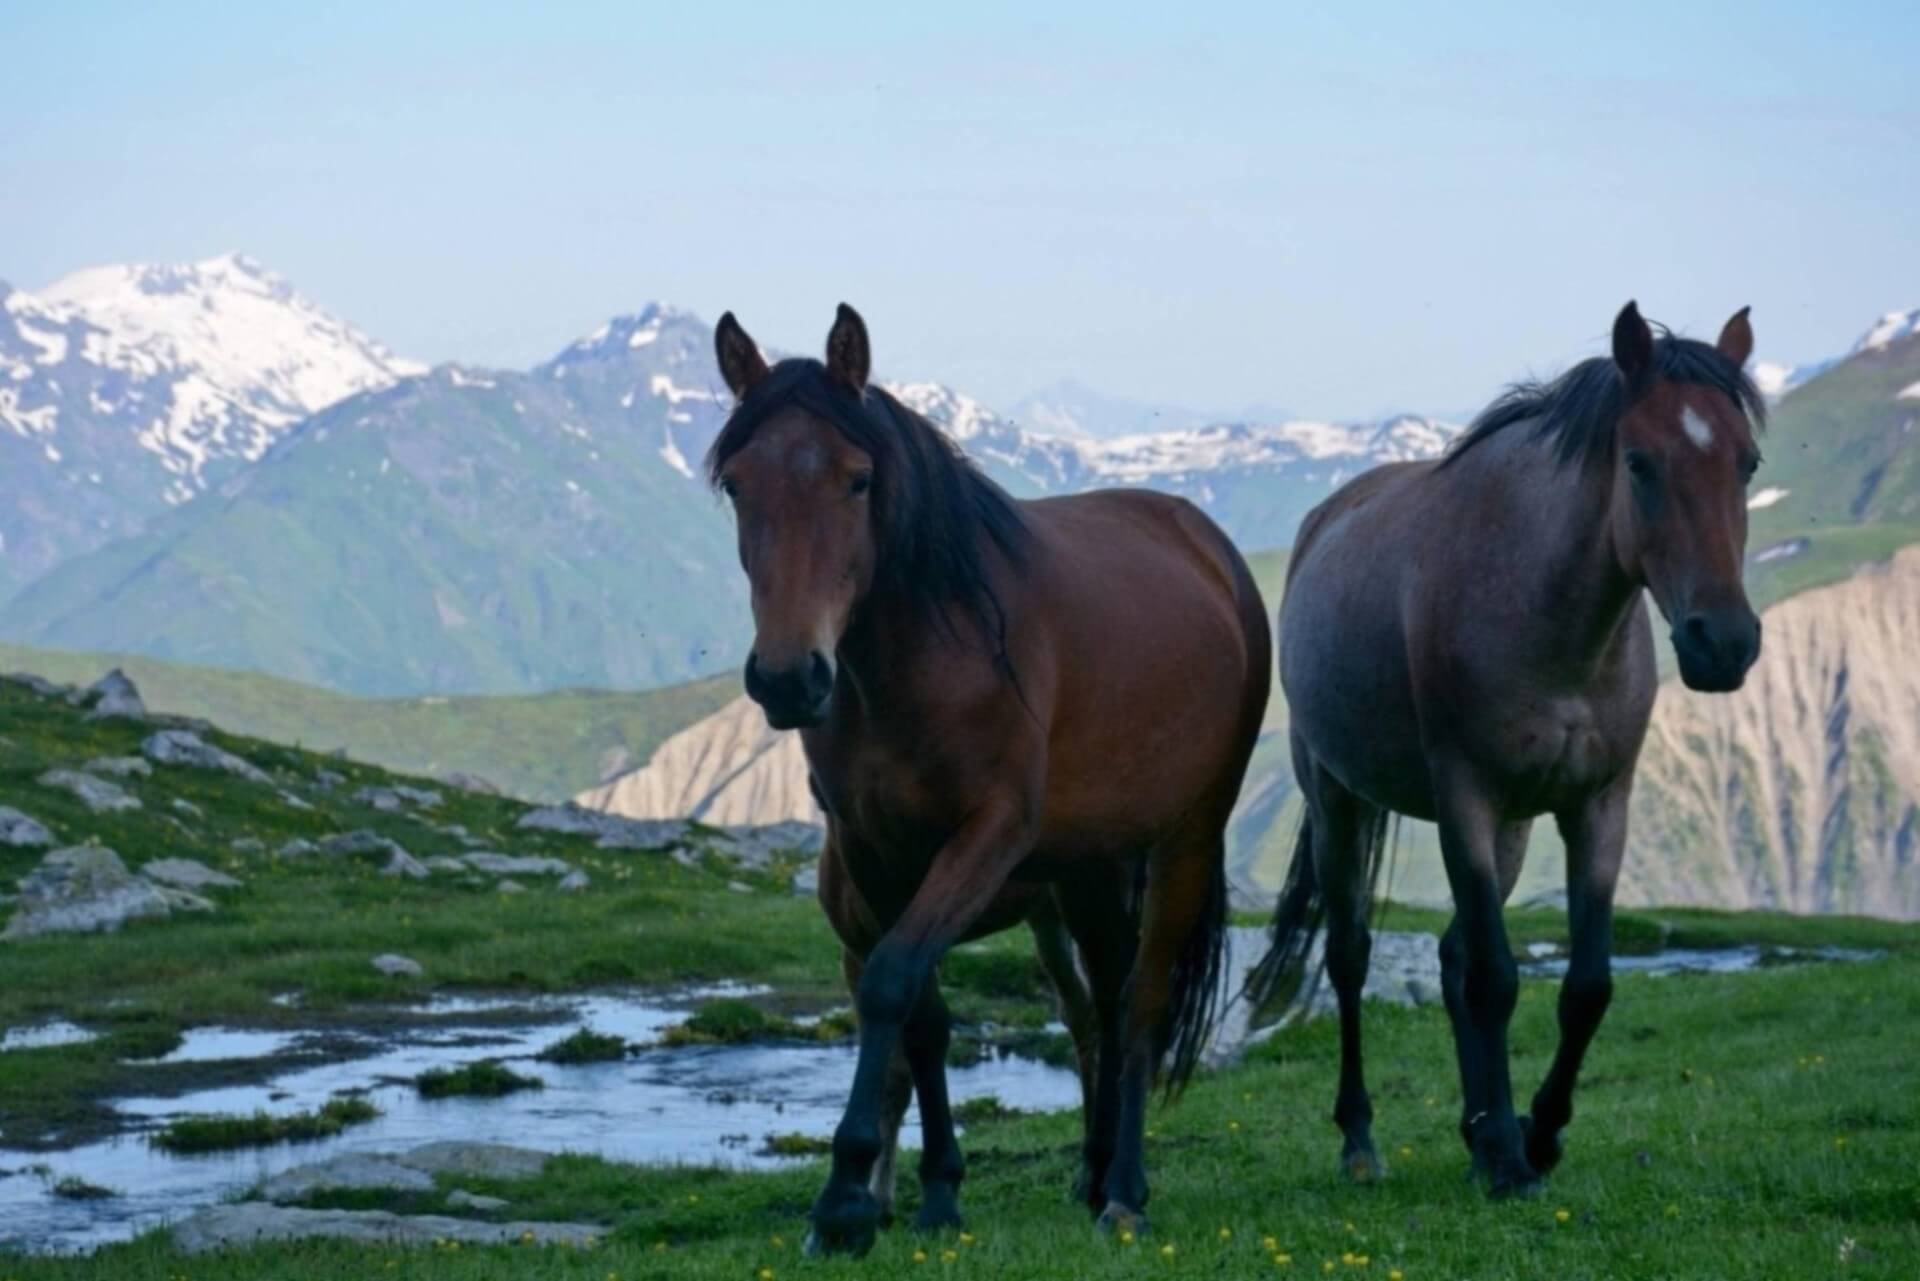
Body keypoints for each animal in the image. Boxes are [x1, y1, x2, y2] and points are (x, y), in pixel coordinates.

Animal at [714, 303, 1267, 1252]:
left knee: (1142, 999)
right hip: (1089, 868)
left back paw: (1125, 1190)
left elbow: (893, 982)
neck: (926, 655)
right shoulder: (876, 851)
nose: (789, 677)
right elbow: (922, 1017)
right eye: (738, 485)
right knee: (1104, 1000)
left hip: (1187, 835)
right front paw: (934, 1191)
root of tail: (1212, 550)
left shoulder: (988, 833)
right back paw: (1094, 1172)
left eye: (859, 479)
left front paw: (844, 1198)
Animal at [1244, 303, 1766, 1206]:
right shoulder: (1467, 801)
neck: (1544, 611)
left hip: (1516, 826)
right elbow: (1494, 977)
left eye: (1748, 462)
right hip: (1338, 800)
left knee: (1452, 953)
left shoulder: (1599, 804)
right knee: (1350, 958)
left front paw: (1535, 1132)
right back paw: (1362, 1139)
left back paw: (1479, 1130)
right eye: (1639, 461)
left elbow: (1584, 986)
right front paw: (1513, 1160)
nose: (1723, 642)